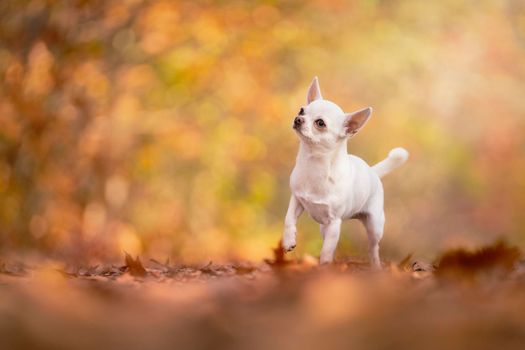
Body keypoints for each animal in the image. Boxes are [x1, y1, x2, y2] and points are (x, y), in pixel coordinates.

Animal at [282, 76, 410, 268]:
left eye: (320, 123)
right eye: (301, 110)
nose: (298, 119)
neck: (314, 164)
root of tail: (372, 171)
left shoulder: (334, 223)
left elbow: (326, 252)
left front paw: (323, 267)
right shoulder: (297, 200)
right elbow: (289, 219)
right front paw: (288, 241)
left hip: (375, 225)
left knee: (373, 247)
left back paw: (376, 266)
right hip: (324, 226)